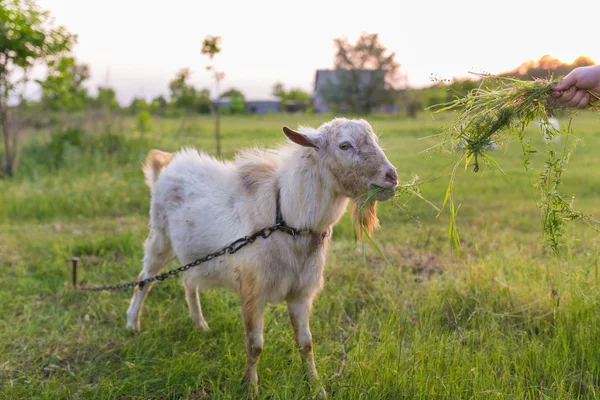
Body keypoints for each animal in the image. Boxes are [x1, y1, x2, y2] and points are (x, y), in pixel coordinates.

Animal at [125, 118, 398, 394]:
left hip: (193, 253)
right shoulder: (252, 291)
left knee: (189, 282)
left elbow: (306, 343)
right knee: (144, 280)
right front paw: (250, 388)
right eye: (345, 145)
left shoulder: (300, 293)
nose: (392, 177)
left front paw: (315, 385)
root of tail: (168, 165)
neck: (286, 219)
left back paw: (199, 324)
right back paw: (132, 324)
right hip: (160, 238)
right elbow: (255, 345)